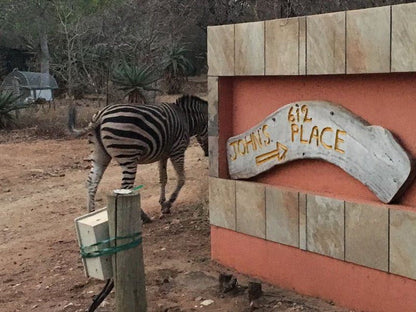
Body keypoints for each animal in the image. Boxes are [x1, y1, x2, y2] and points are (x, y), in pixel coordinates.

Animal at [69, 94, 210, 222]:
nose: (207, 154)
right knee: (126, 188)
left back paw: (90, 213)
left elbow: (163, 179)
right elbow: (181, 179)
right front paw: (169, 203)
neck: (186, 119)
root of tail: (101, 115)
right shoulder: (178, 150)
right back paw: (143, 217)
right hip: (128, 157)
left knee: (91, 183)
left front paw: (162, 203)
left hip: (100, 155)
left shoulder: (163, 154)